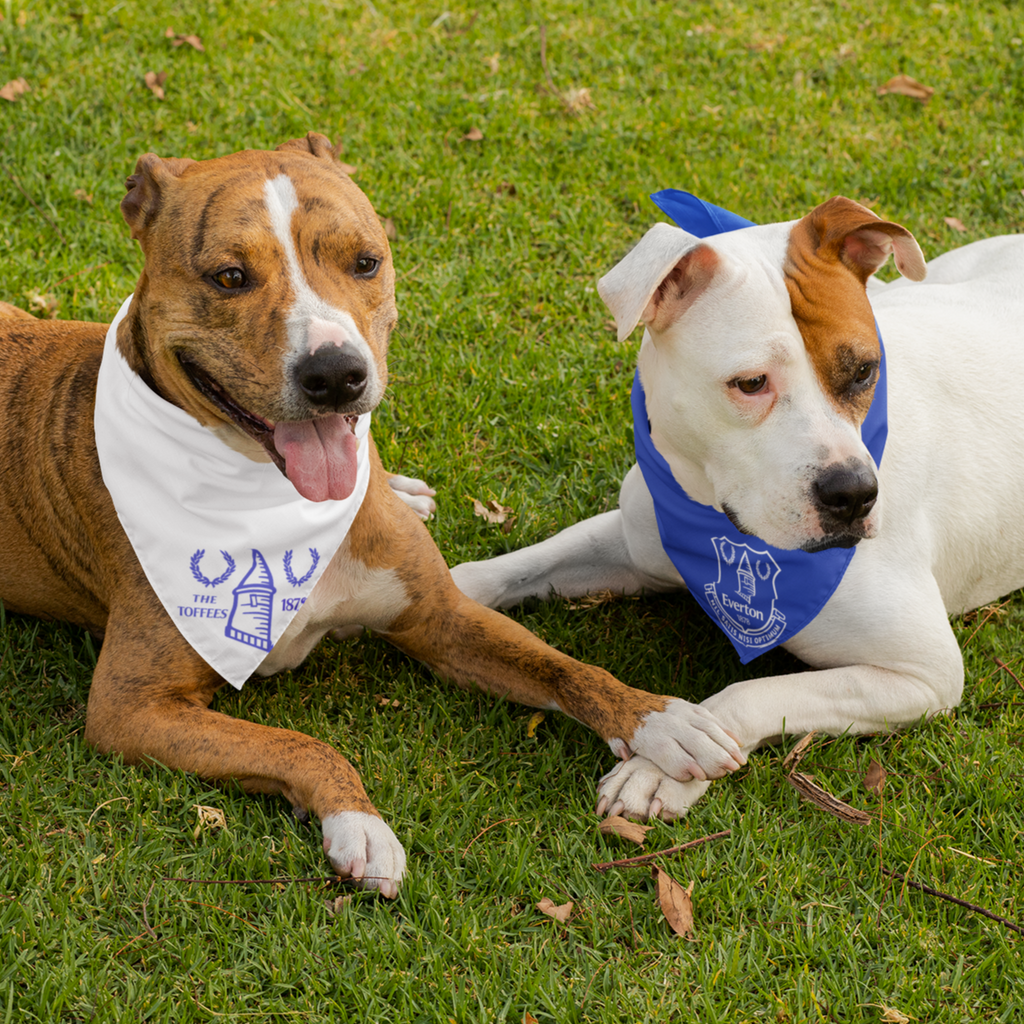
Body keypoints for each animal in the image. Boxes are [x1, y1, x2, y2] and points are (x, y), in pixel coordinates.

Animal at [454, 197, 1024, 823]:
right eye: (751, 383)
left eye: (864, 371)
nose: (854, 494)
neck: (715, 521)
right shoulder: (636, 538)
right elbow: (514, 567)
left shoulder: (924, 673)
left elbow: (753, 693)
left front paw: (659, 765)